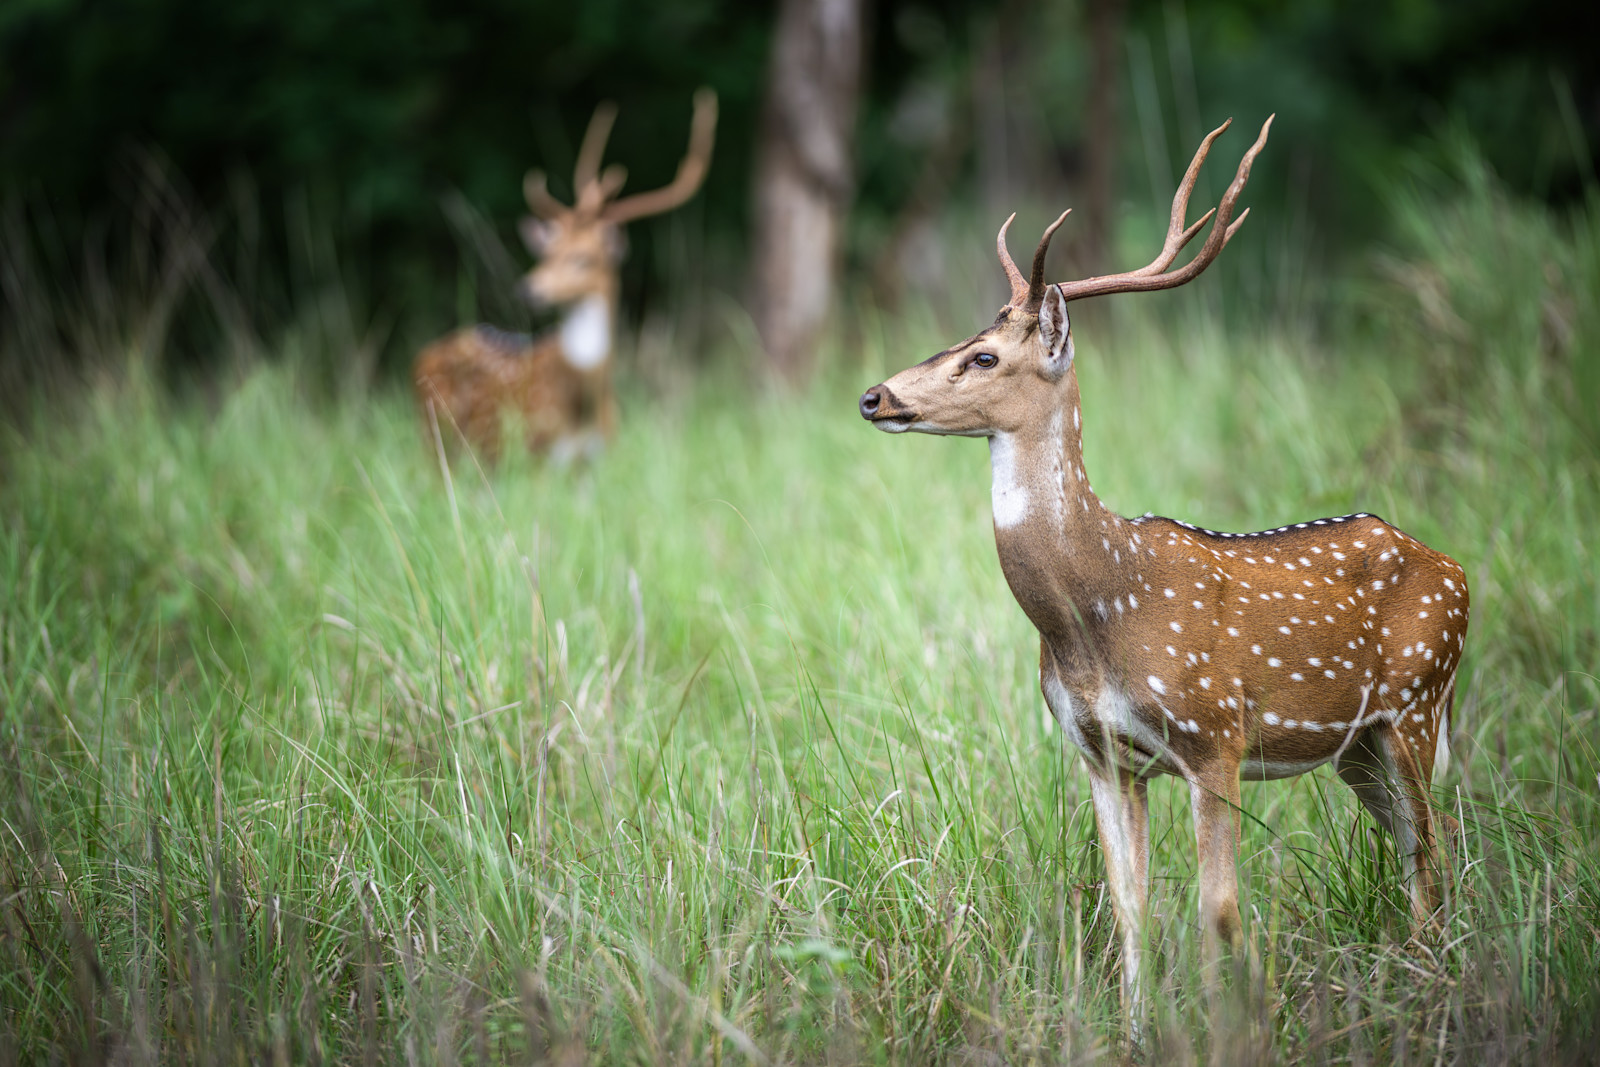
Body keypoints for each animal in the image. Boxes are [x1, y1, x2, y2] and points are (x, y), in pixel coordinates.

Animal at [414, 89, 717, 463]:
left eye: (584, 258)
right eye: (546, 253)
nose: (528, 289)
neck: (582, 408)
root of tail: (425, 352)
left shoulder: (593, 458)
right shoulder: (533, 451)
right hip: (437, 438)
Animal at [858, 117, 1469, 1022]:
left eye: (984, 357)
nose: (875, 396)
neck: (1095, 612)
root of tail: (1458, 570)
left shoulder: (1215, 733)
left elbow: (1219, 907)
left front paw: (1228, 1028)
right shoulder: (1100, 752)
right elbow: (1129, 904)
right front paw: (1138, 1029)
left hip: (1417, 703)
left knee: (1433, 851)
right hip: (1358, 743)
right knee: (1416, 847)